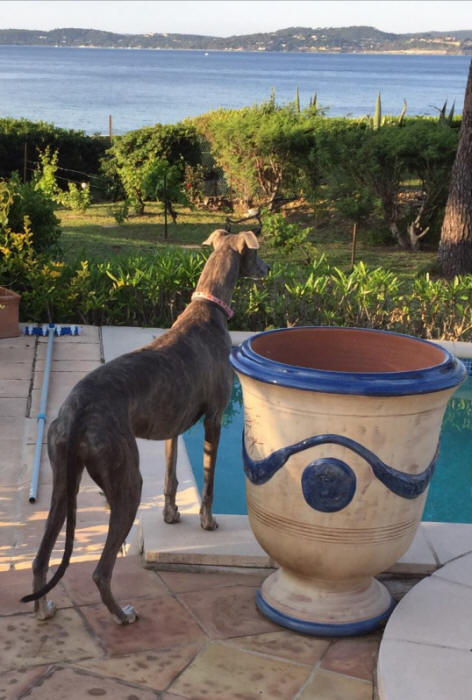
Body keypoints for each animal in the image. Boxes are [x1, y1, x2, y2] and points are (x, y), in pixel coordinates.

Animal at [21, 229, 269, 624]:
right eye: (257, 252)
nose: (268, 269)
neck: (209, 309)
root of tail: (77, 414)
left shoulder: (173, 428)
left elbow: (171, 478)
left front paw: (171, 515)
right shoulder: (213, 417)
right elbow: (208, 481)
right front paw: (207, 522)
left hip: (63, 481)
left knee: (40, 557)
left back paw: (44, 609)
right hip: (127, 480)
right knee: (100, 570)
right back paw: (122, 615)